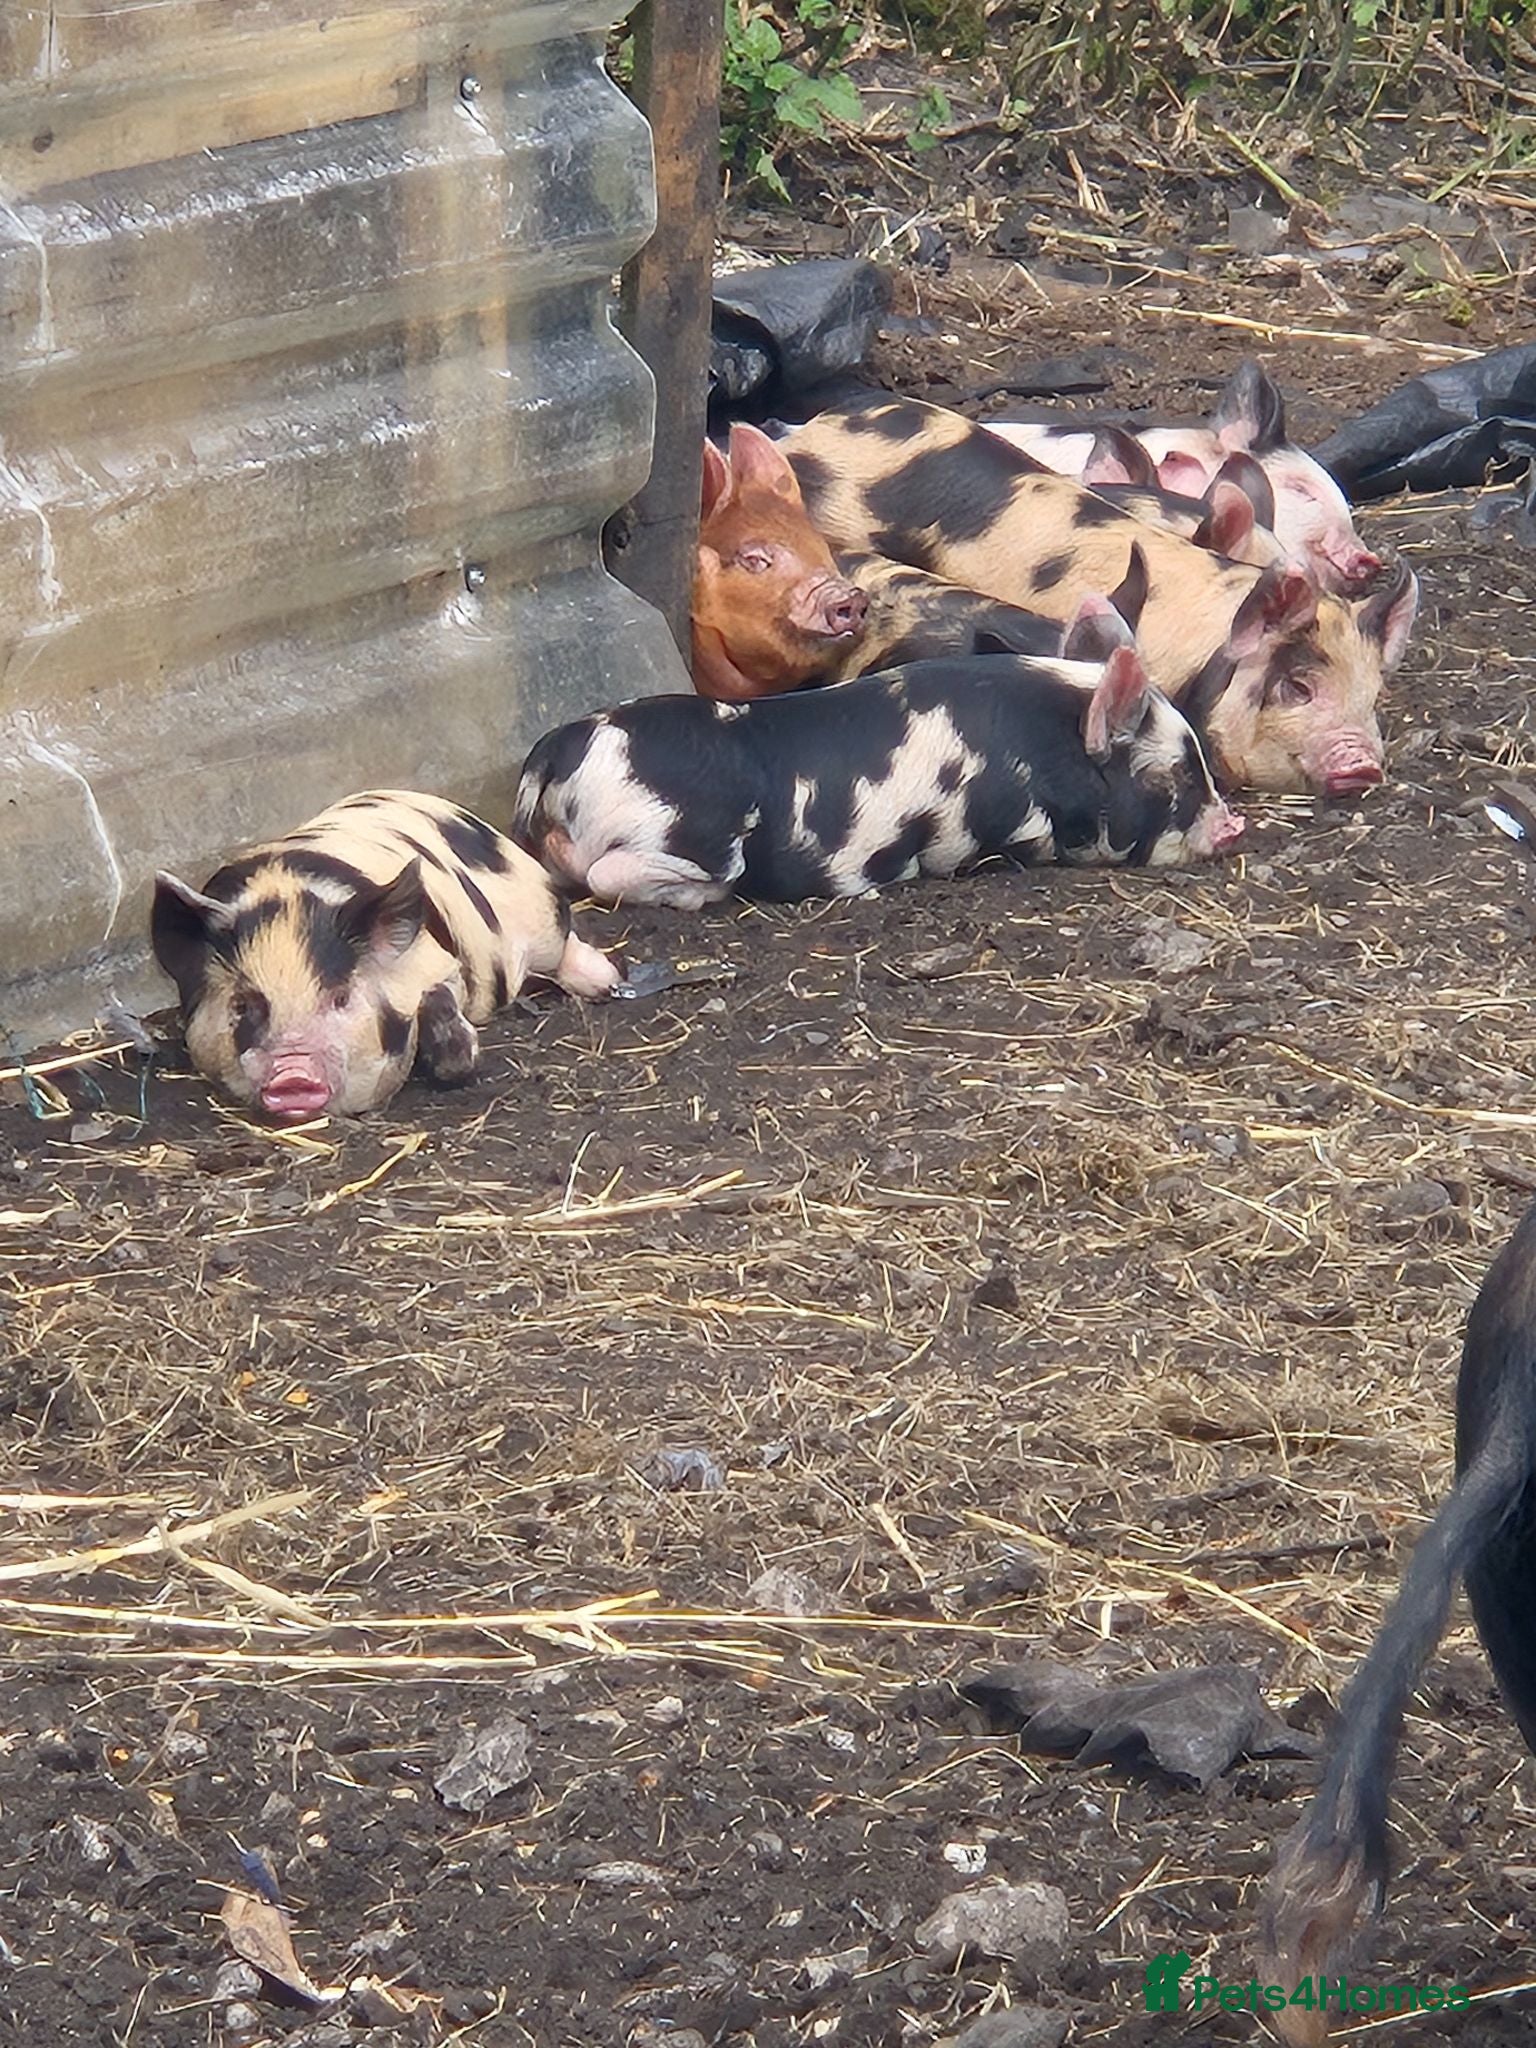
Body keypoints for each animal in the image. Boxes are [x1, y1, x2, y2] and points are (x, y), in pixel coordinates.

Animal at [151, 790, 620, 1119]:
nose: (293, 1074)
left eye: (340, 997)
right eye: (242, 1005)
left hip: (543, 913)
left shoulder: (439, 963)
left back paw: (605, 984)